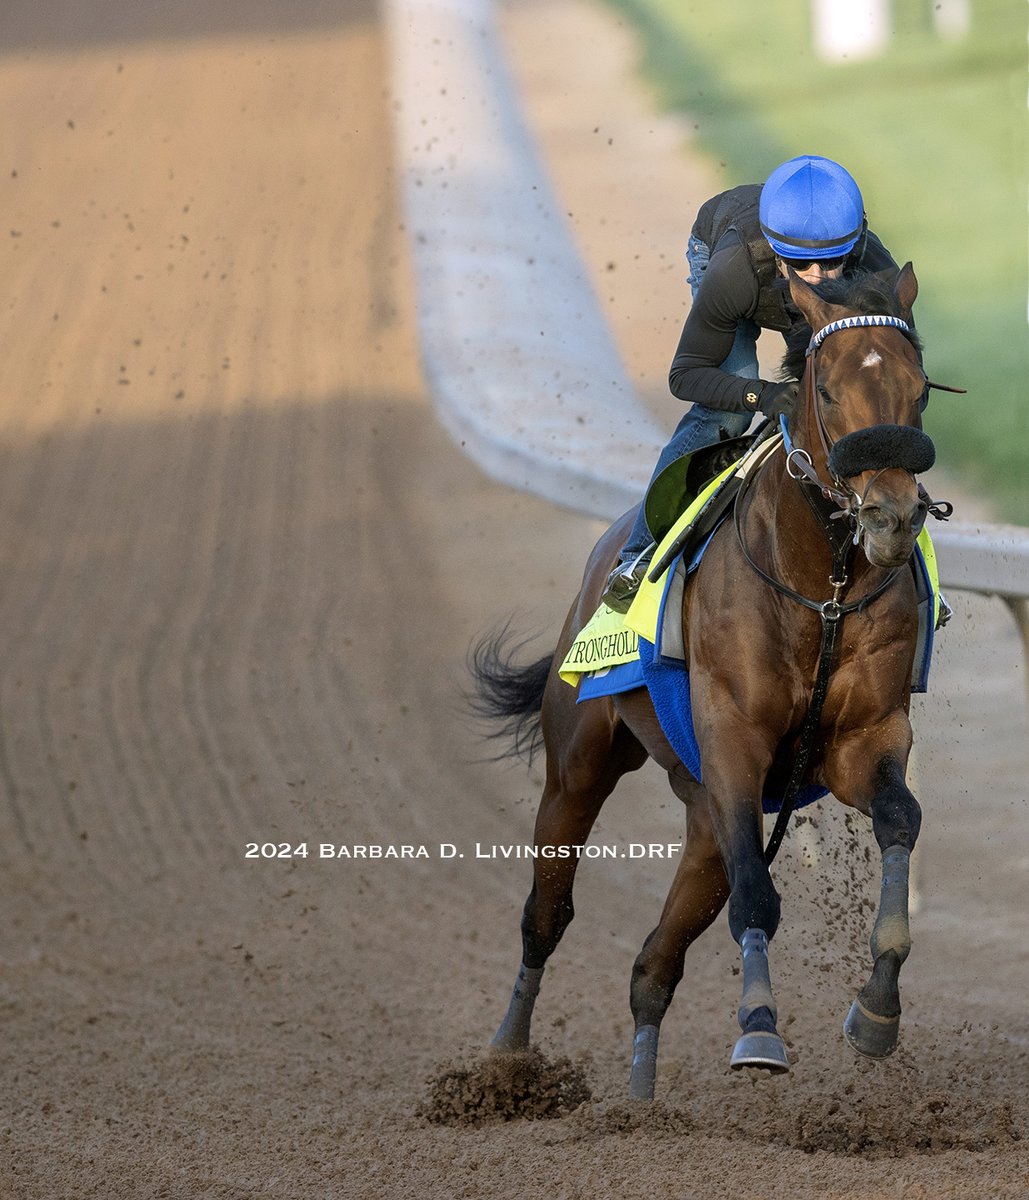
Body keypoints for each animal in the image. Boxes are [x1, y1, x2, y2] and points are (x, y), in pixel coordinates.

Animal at [470, 262, 940, 1099]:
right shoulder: (732, 740)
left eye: (918, 391)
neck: (820, 590)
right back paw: (506, 1057)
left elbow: (899, 820)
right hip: (582, 765)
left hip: (701, 814)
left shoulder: (861, 740)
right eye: (826, 392)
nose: (890, 517)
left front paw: (877, 1009)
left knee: (653, 963)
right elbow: (757, 889)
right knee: (545, 914)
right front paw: (757, 1029)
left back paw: (637, 1103)